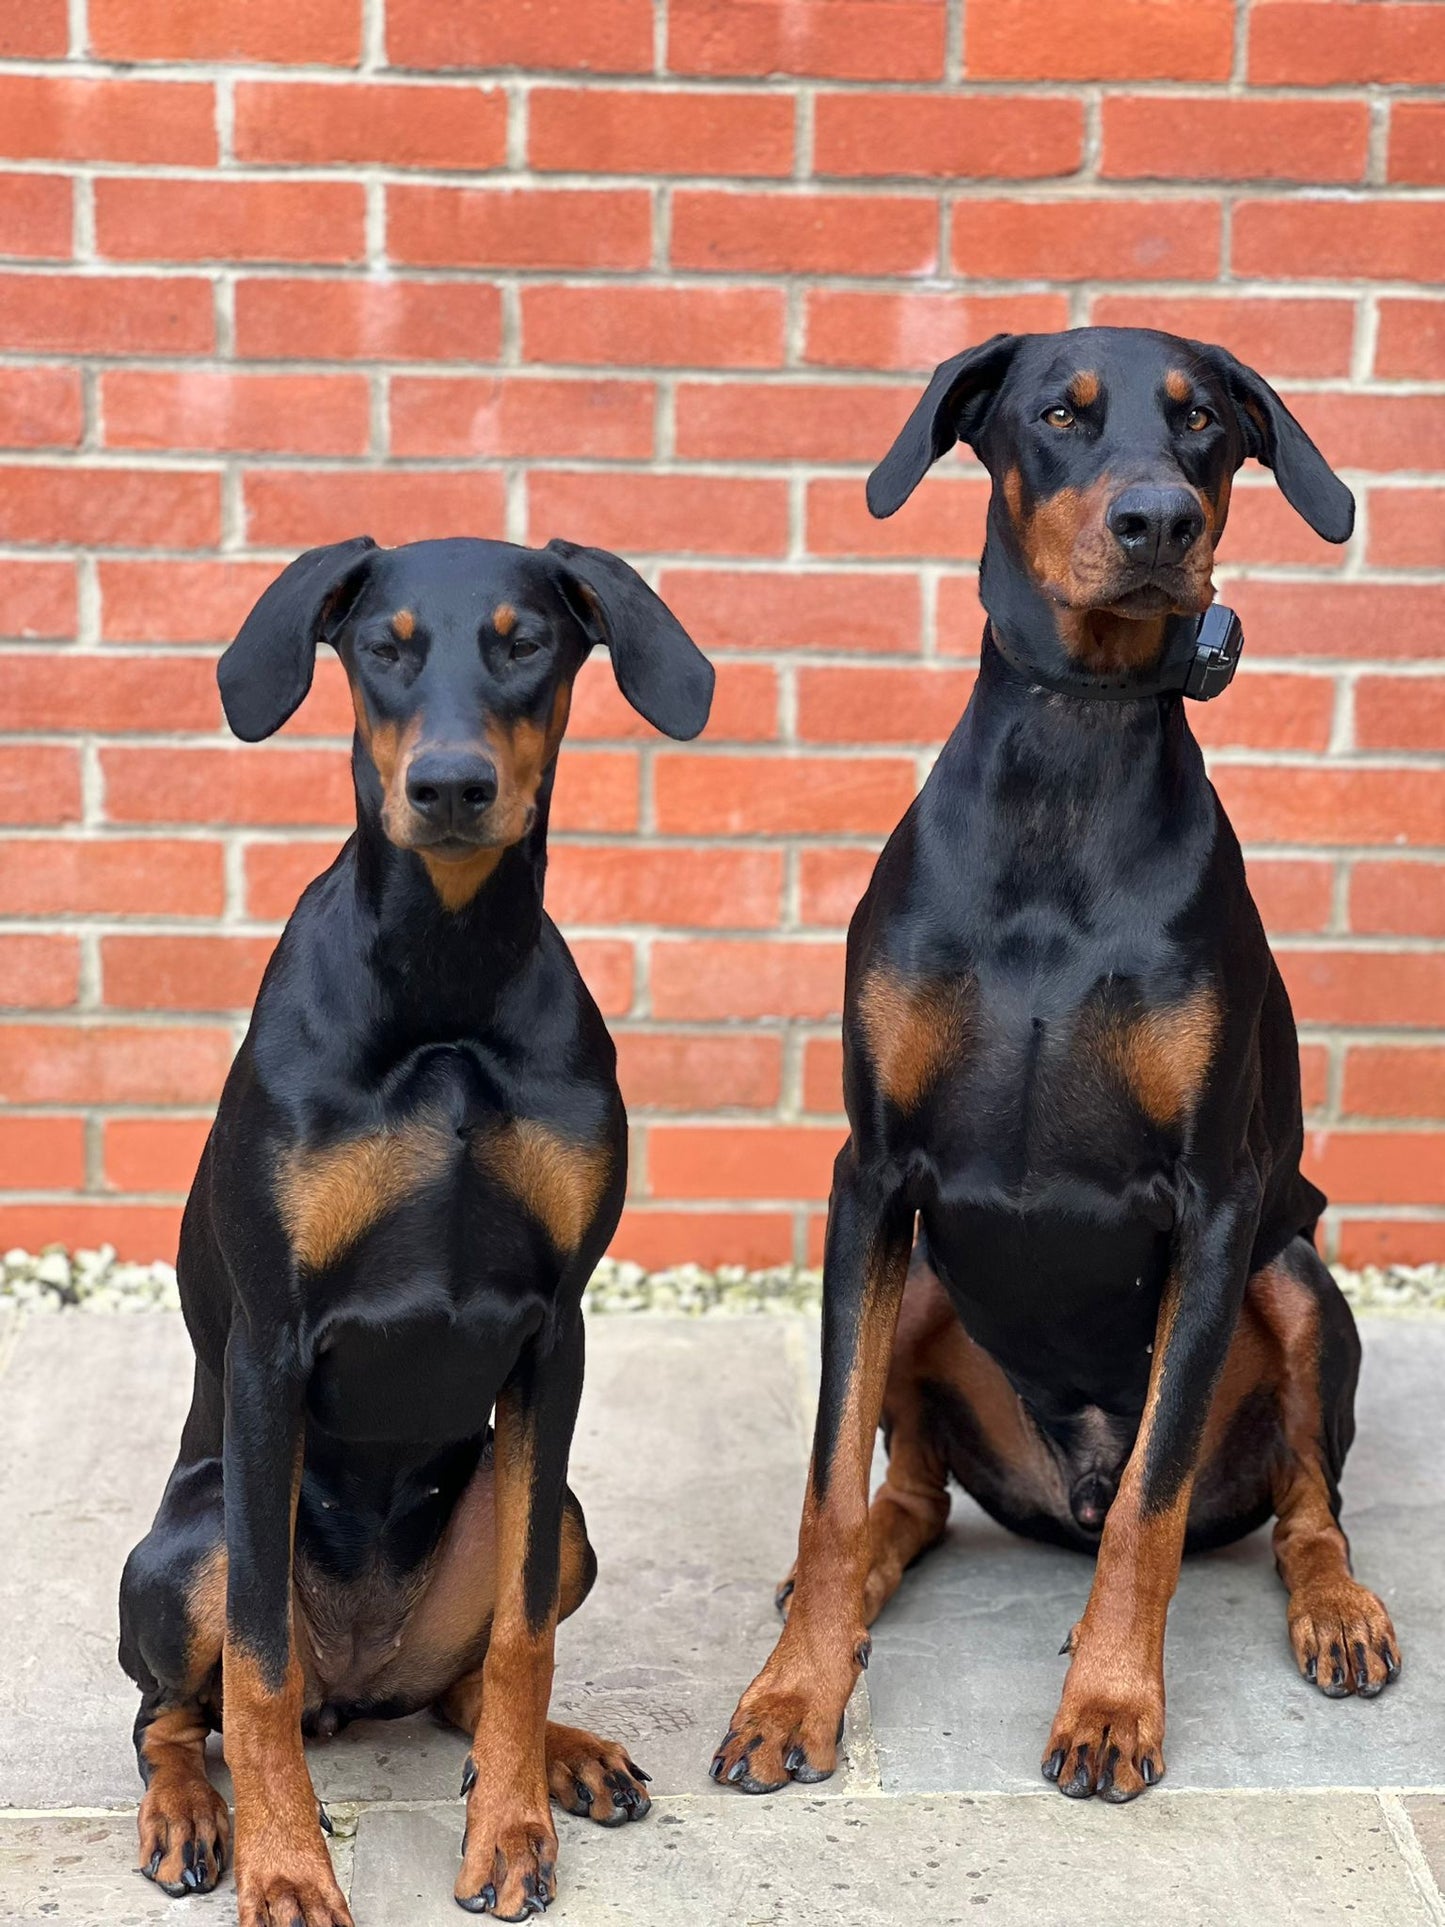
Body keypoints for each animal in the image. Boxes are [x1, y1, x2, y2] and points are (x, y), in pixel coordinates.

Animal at [117, 535, 712, 1919]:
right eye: (383, 648)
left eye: (523, 642)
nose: (449, 786)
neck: (444, 982)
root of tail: (362, 1679)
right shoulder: (271, 1345)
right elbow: (257, 1668)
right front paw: (288, 1869)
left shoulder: (556, 1332)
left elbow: (524, 1637)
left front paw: (510, 1828)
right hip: (185, 1549)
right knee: (178, 1710)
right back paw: (190, 1814)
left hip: (554, 1518)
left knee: (468, 1674)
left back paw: (561, 1755)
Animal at [712, 327, 1402, 1803]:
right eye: (1060, 417)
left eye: (1203, 426)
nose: (1159, 521)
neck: (1071, 760)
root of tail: (1055, 1486)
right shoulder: (871, 1175)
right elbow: (824, 1480)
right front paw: (793, 1692)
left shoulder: (1213, 1203)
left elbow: (1152, 1497)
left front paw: (1109, 1705)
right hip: (923, 1281)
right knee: (901, 1496)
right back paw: (846, 1598)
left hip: (1293, 1271)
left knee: (1300, 1499)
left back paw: (1335, 1609)